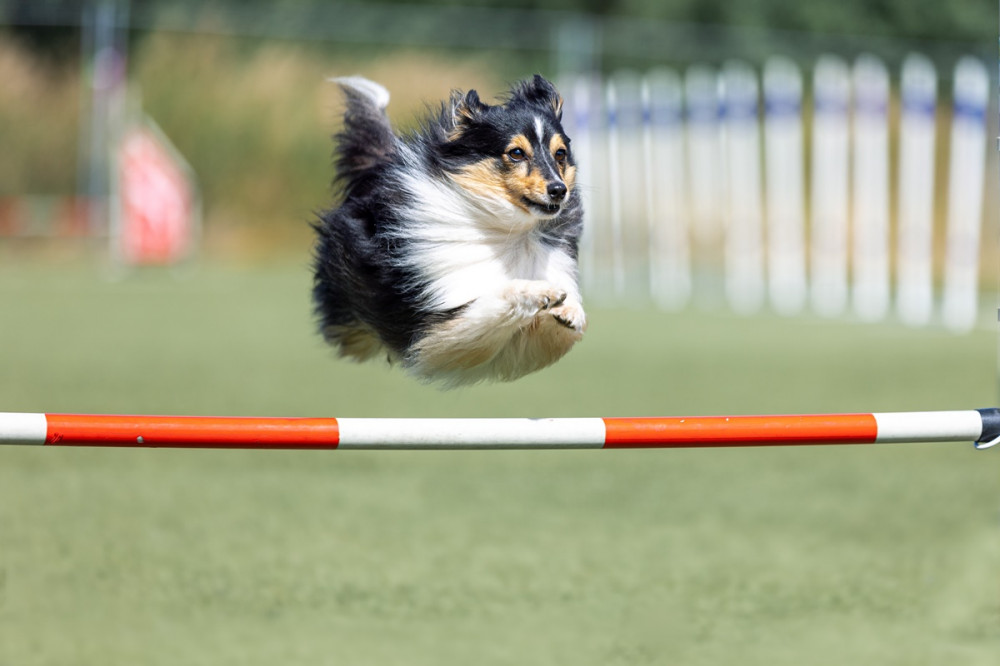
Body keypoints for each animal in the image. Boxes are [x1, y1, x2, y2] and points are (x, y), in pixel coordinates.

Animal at [312, 73, 584, 386]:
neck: (506, 228)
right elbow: (499, 294)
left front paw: (570, 311)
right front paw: (541, 291)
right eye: (516, 153)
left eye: (560, 154)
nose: (558, 190)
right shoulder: (437, 336)